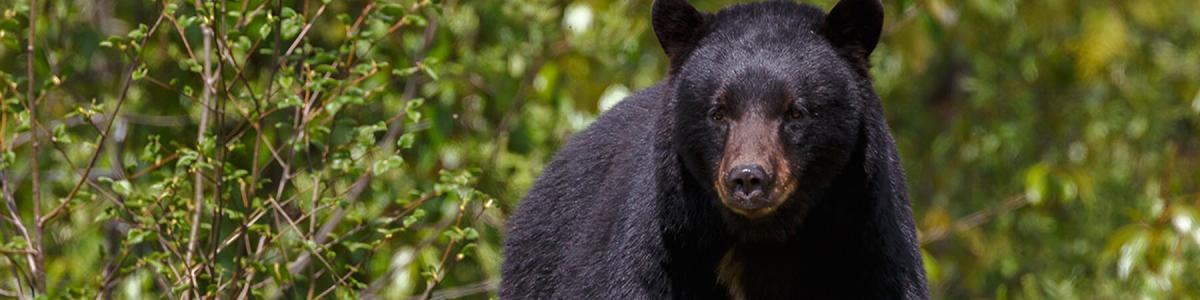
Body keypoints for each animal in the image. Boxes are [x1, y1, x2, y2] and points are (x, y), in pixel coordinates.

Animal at [501, 0, 931, 297]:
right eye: (718, 111)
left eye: (796, 112)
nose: (748, 179)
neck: (760, 241)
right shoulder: (660, 249)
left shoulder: (869, 246)